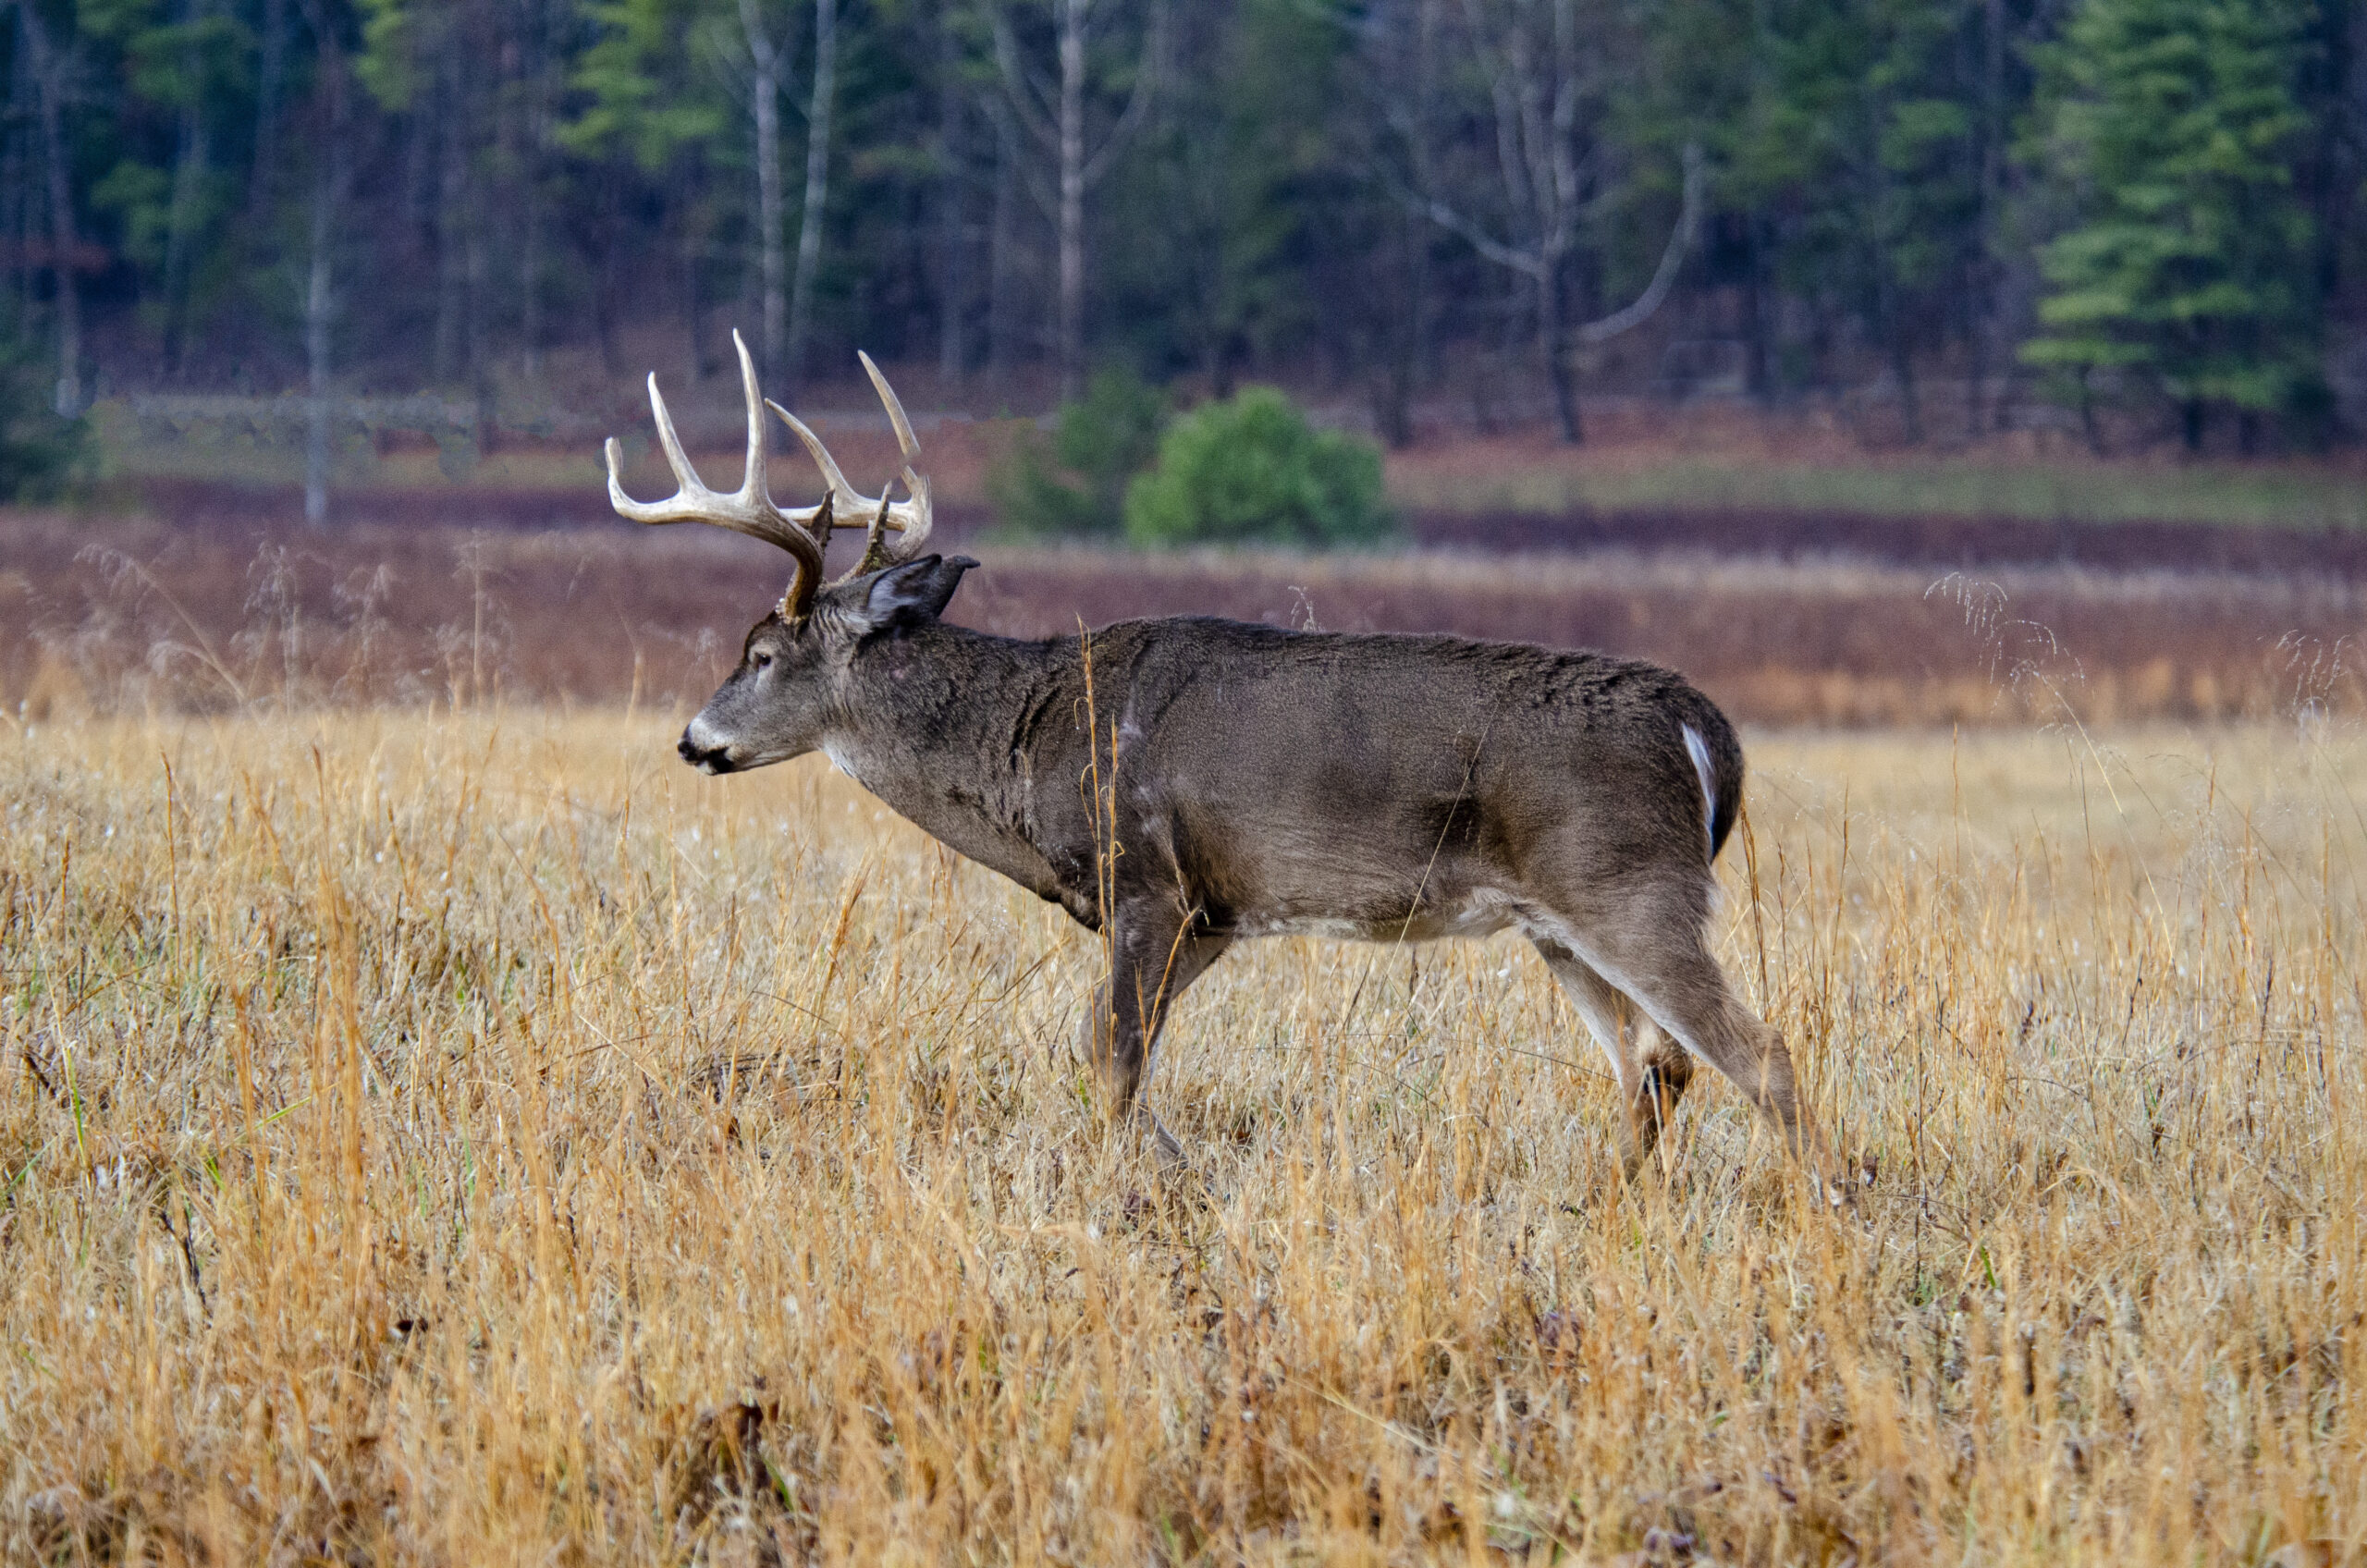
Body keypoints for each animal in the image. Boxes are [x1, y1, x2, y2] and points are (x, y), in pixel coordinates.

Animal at [610, 334, 1846, 1203]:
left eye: (760, 653)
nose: (693, 739)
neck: (1031, 739)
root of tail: (1705, 728)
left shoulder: (1148, 878)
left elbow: (1108, 1059)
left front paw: (1151, 1189)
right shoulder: (1211, 910)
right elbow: (1112, 1057)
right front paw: (1180, 1175)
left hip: (1629, 882)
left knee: (1758, 1050)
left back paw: (1822, 1212)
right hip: (1557, 920)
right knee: (1654, 1062)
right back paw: (1606, 1208)